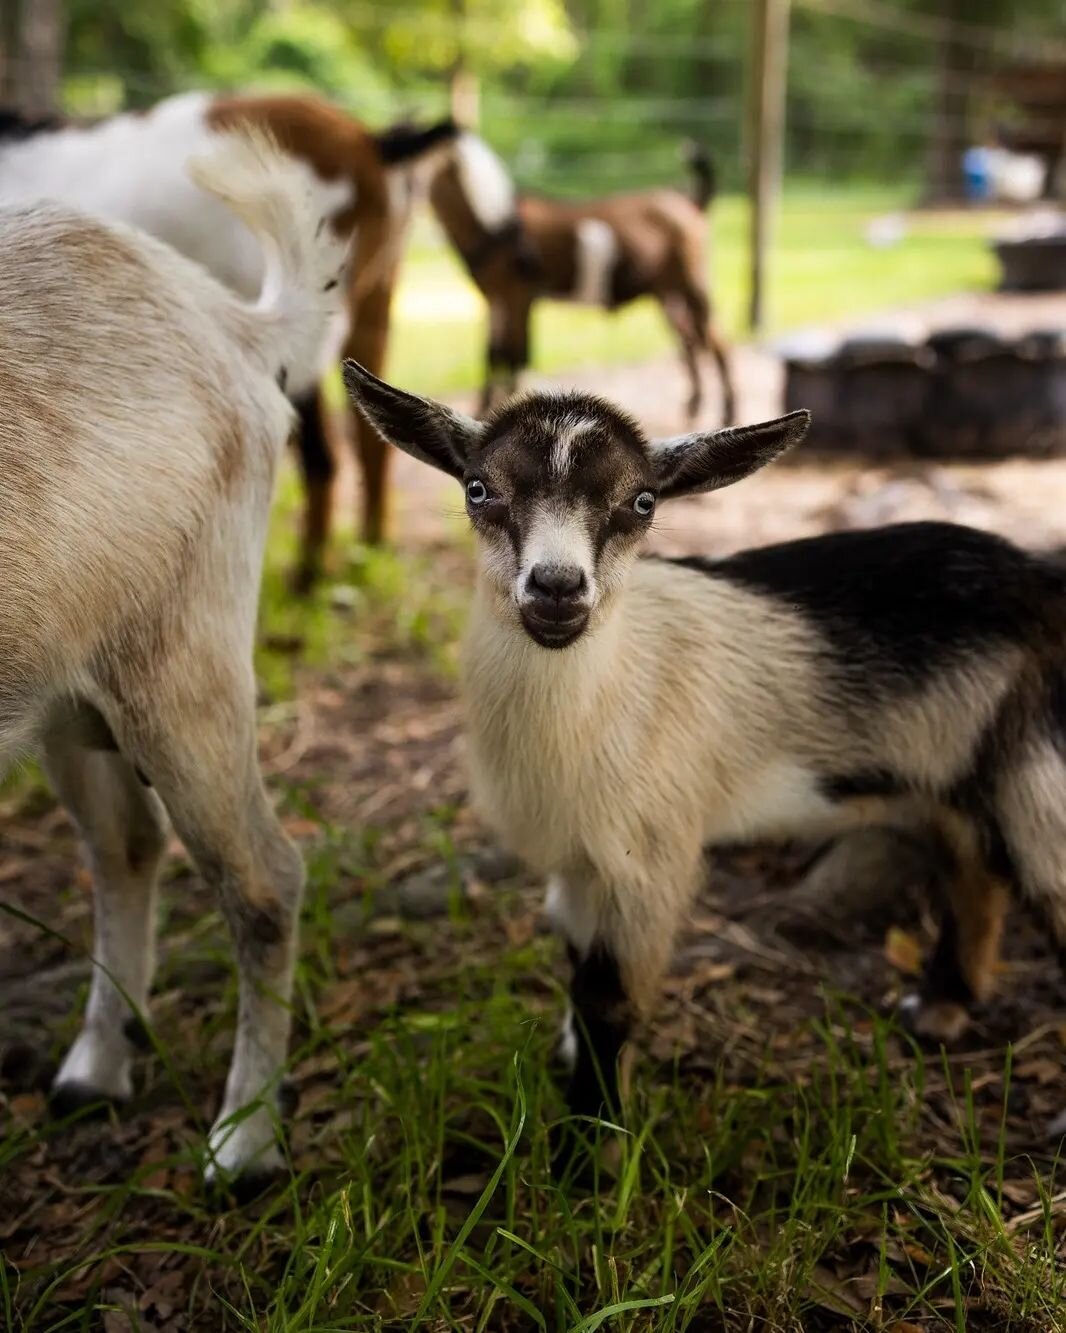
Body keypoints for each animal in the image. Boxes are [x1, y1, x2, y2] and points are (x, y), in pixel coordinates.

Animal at [0, 92, 458, 583]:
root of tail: (370, 140)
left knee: (320, 457)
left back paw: (307, 577)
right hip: (373, 302)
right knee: (370, 442)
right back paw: (364, 557)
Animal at [0, 129, 341, 1189]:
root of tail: (228, 321)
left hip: (184, 666)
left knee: (265, 879)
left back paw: (244, 1144)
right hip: (65, 691)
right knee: (126, 844)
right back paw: (96, 1067)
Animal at [343, 362, 1066, 1167]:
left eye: (643, 501)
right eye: (478, 488)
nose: (557, 589)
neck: (611, 688)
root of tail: (1037, 576)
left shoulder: (648, 856)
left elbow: (608, 996)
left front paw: (589, 1156)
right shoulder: (581, 856)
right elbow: (574, 953)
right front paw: (572, 1072)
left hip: (1033, 763)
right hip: (943, 775)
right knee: (974, 872)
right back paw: (942, 1005)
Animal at [426, 132, 735, 423]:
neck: (495, 224)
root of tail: (691, 202)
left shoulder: (519, 296)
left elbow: (517, 355)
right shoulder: (495, 298)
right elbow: (493, 353)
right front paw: (483, 409)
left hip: (693, 285)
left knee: (717, 342)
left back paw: (728, 413)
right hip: (667, 293)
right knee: (690, 342)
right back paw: (694, 405)